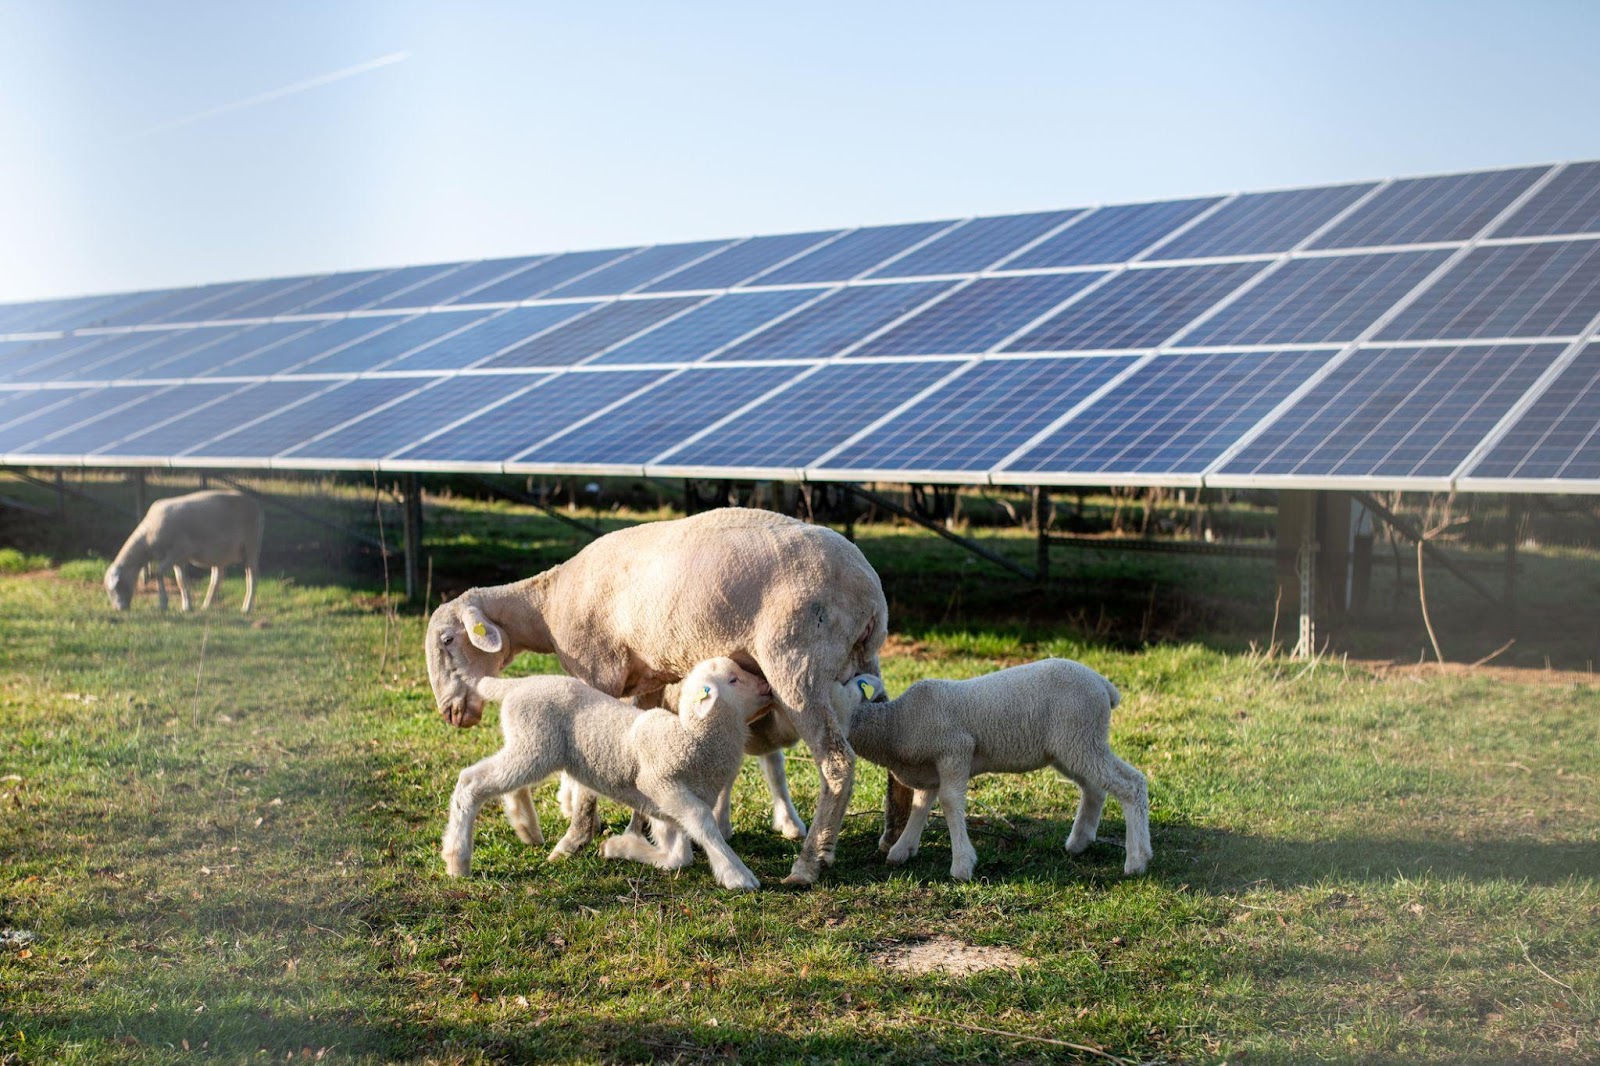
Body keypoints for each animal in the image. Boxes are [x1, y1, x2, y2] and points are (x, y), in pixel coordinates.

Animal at [105, 486, 265, 611]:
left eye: (115, 588)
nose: (119, 609)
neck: (148, 537)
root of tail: (254, 503)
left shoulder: (177, 551)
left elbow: (159, 573)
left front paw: (163, 603)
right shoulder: (178, 559)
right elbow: (180, 581)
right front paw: (186, 606)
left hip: (251, 544)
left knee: (252, 575)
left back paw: (247, 607)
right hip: (219, 552)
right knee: (218, 577)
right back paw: (206, 605)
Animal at [441, 656, 771, 889]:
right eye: (733, 679)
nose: (767, 687)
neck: (691, 737)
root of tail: (518, 685)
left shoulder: (665, 808)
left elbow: (678, 857)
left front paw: (619, 847)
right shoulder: (658, 782)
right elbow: (701, 821)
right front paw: (736, 873)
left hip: (528, 746)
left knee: (505, 782)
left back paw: (526, 828)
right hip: (535, 746)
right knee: (471, 781)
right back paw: (458, 859)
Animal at [838, 656, 1152, 877]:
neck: (896, 724)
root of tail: (1103, 684)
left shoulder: (955, 749)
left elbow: (950, 801)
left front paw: (962, 865)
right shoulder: (930, 768)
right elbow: (921, 805)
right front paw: (902, 849)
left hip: (1081, 736)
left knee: (1131, 784)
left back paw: (1137, 859)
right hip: (1071, 746)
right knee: (1095, 789)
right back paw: (1080, 842)